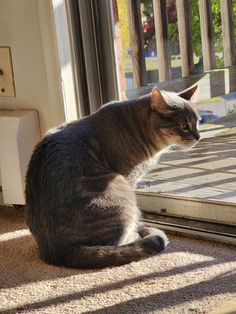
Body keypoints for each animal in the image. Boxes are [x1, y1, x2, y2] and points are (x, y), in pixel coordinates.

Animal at [25, 86, 199, 270]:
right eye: (184, 125)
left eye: (197, 122)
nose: (198, 136)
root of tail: (58, 252)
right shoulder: (130, 178)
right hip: (121, 195)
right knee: (115, 244)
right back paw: (136, 234)